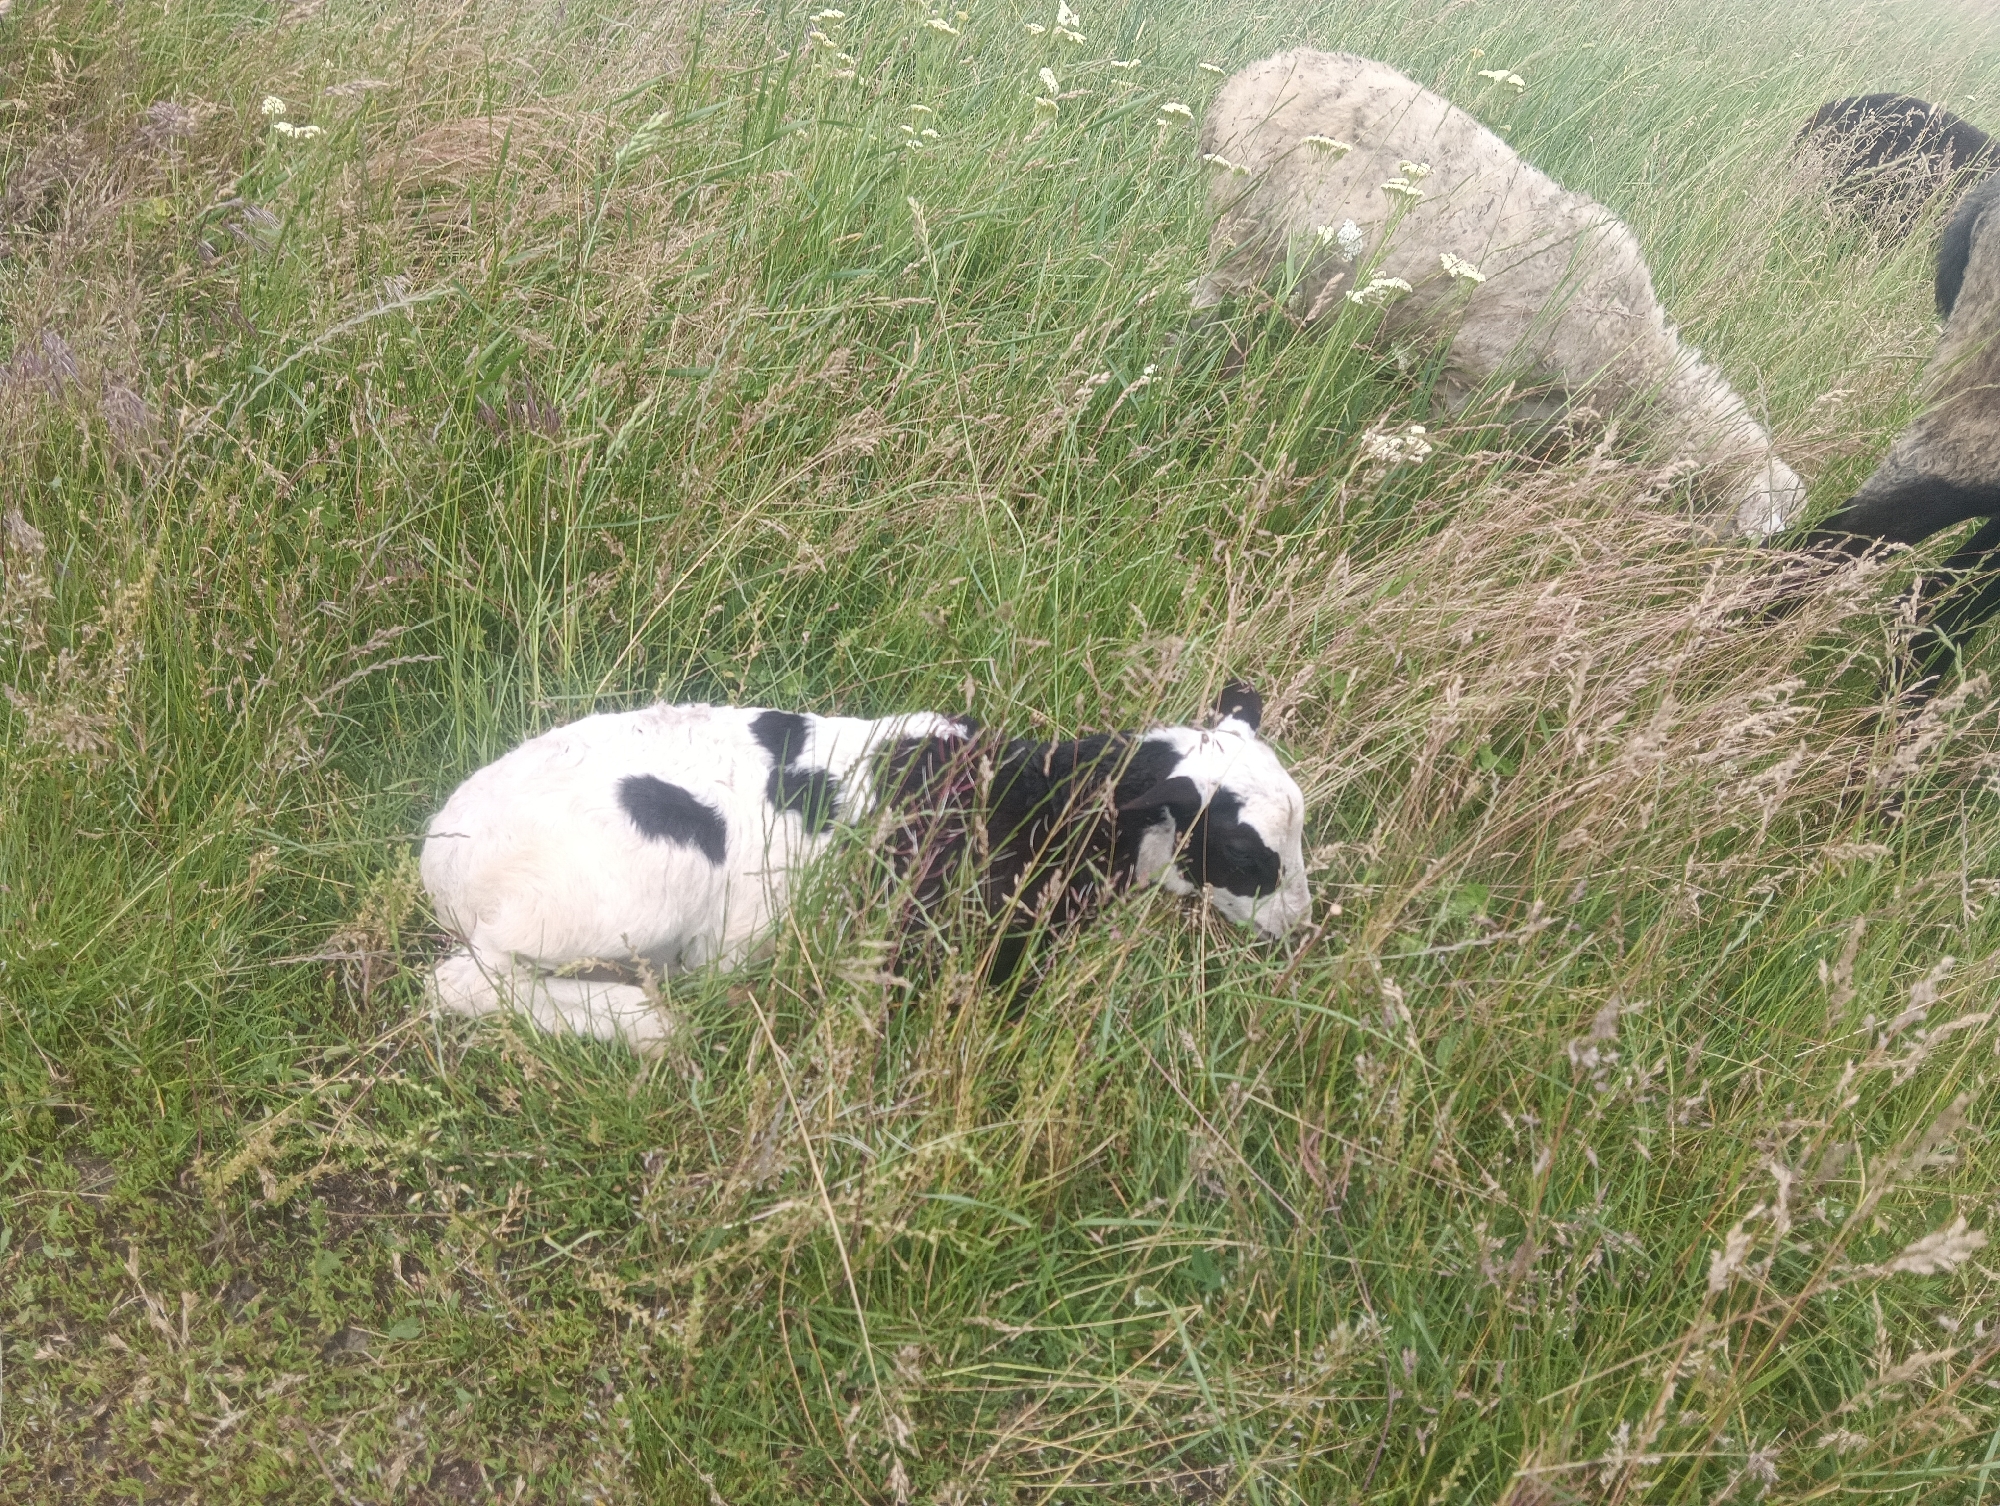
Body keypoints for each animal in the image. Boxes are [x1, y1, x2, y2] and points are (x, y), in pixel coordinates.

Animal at [420, 685, 1311, 1049]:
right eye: (1245, 851)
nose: (1300, 927)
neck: (1029, 798)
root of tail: (440, 853)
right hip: (620, 895)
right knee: (463, 982)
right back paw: (651, 1024)